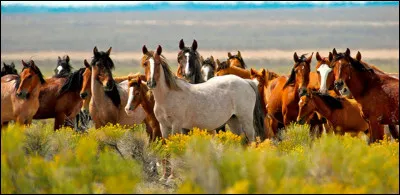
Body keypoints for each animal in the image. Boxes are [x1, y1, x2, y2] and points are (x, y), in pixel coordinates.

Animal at [141, 45, 266, 181]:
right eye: (145, 63)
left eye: (158, 63)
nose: (151, 83)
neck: (168, 95)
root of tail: (247, 82)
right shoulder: (164, 126)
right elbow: (166, 147)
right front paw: (164, 176)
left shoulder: (177, 125)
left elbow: (175, 147)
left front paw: (171, 177)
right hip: (233, 121)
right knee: (241, 142)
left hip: (246, 120)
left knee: (251, 141)